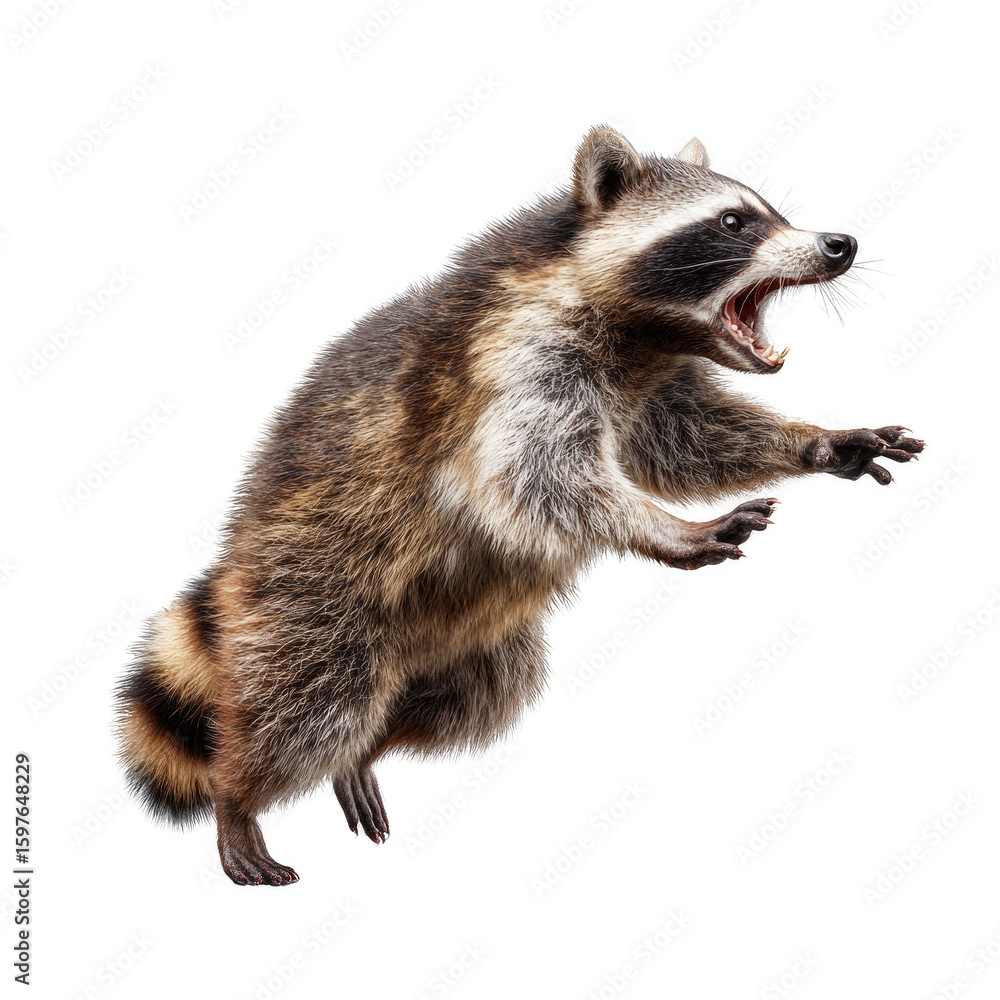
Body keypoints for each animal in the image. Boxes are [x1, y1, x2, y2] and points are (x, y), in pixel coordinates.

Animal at [116, 126, 923, 885]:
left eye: (769, 210)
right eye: (733, 221)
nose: (839, 244)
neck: (637, 335)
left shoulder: (649, 385)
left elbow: (690, 440)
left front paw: (814, 442)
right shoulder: (514, 359)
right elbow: (532, 475)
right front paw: (664, 527)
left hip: (469, 645)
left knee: (476, 697)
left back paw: (364, 751)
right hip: (313, 585)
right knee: (309, 698)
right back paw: (238, 792)